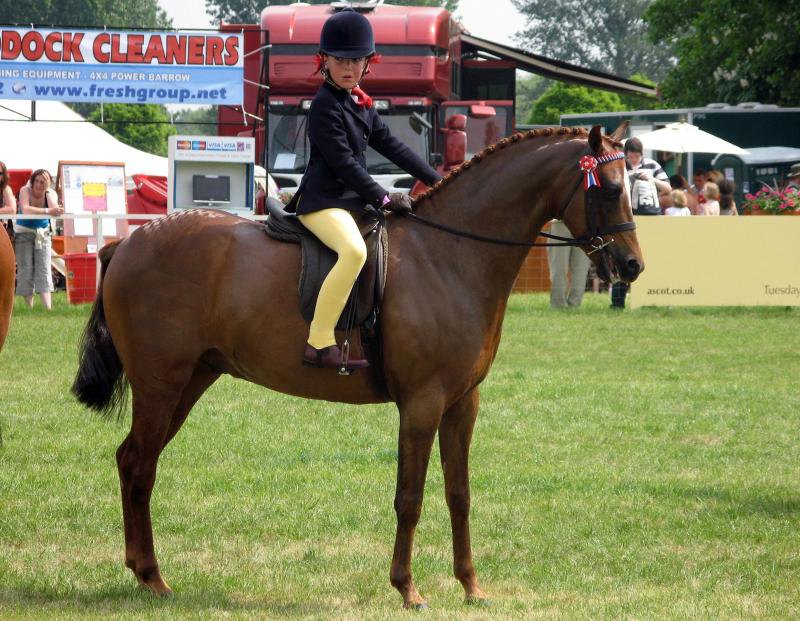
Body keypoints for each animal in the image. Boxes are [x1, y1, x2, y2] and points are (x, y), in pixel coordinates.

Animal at [70, 123, 644, 608]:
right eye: (607, 188)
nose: (633, 265)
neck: (449, 253)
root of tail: (129, 241)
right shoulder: (422, 404)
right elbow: (410, 497)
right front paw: (408, 589)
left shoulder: (463, 403)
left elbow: (458, 494)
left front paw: (471, 587)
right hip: (161, 385)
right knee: (140, 464)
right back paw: (153, 578)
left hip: (190, 381)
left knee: (133, 461)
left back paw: (144, 573)